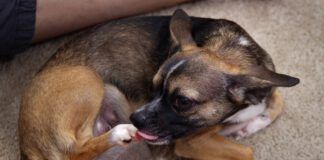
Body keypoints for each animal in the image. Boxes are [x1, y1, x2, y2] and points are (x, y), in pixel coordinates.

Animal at [19, 9, 300, 160]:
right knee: (75, 151)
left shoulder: (267, 82)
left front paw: (249, 126)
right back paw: (119, 132)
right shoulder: (190, 142)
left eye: (183, 102)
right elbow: (247, 152)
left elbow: (277, 101)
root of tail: (26, 144)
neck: (228, 51)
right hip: (88, 78)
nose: (136, 117)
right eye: (153, 86)